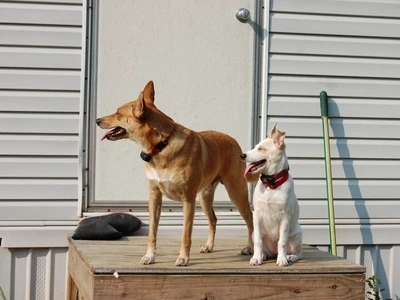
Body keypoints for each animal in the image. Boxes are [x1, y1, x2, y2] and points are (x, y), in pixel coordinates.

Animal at [96, 81, 253, 266]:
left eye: (118, 113)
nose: (97, 120)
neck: (161, 146)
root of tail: (234, 141)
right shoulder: (155, 197)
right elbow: (152, 233)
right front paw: (150, 256)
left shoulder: (188, 199)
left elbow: (186, 234)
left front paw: (183, 258)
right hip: (204, 197)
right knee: (213, 220)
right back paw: (209, 246)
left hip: (236, 192)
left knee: (250, 219)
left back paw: (250, 248)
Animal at [239, 124, 302, 268]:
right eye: (255, 147)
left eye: (261, 149)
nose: (242, 155)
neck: (271, 184)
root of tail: (273, 253)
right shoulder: (257, 215)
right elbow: (258, 241)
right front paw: (256, 258)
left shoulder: (285, 217)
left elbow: (282, 241)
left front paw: (282, 260)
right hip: (256, 232)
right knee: (263, 247)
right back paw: (262, 255)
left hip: (297, 234)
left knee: (298, 253)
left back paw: (289, 257)